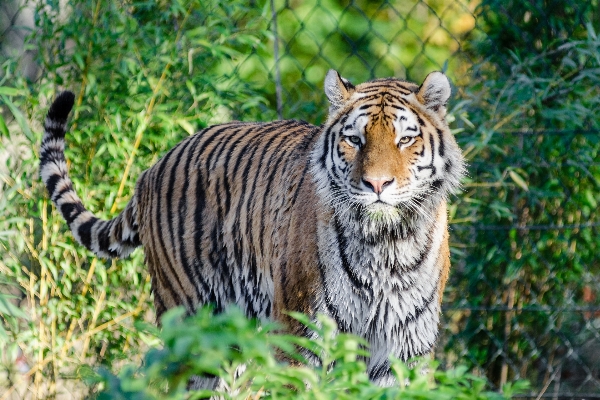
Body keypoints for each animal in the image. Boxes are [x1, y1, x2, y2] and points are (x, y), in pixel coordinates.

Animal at [41, 69, 464, 388]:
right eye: (354, 140)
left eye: (405, 139)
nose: (377, 184)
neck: (386, 242)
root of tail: (151, 170)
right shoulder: (302, 337)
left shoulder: (404, 347)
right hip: (192, 323)